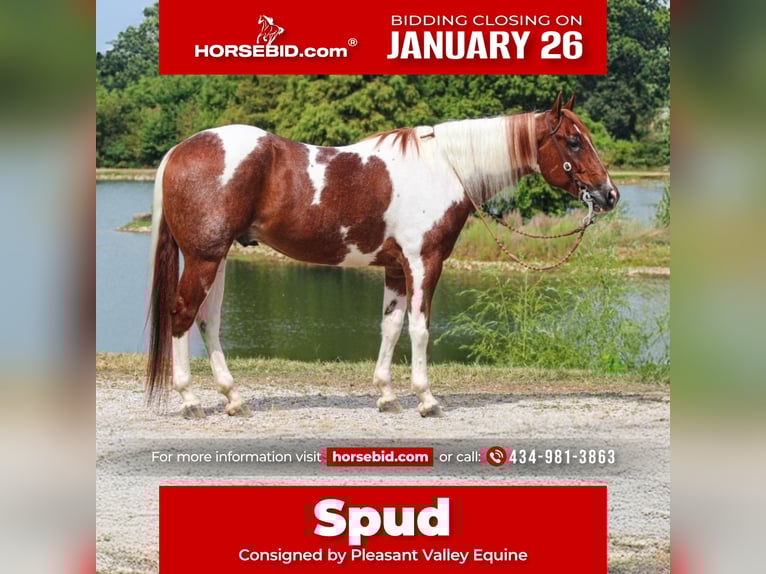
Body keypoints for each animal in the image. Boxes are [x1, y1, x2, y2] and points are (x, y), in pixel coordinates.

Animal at [146, 92, 619, 419]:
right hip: (204, 257)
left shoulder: (395, 269)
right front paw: (427, 399)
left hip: (218, 258)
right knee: (183, 314)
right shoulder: (424, 263)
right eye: (574, 142)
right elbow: (420, 330)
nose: (609, 195)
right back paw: (190, 401)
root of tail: (180, 150)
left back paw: (234, 399)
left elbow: (390, 329)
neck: (445, 168)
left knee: (208, 321)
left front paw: (387, 395)